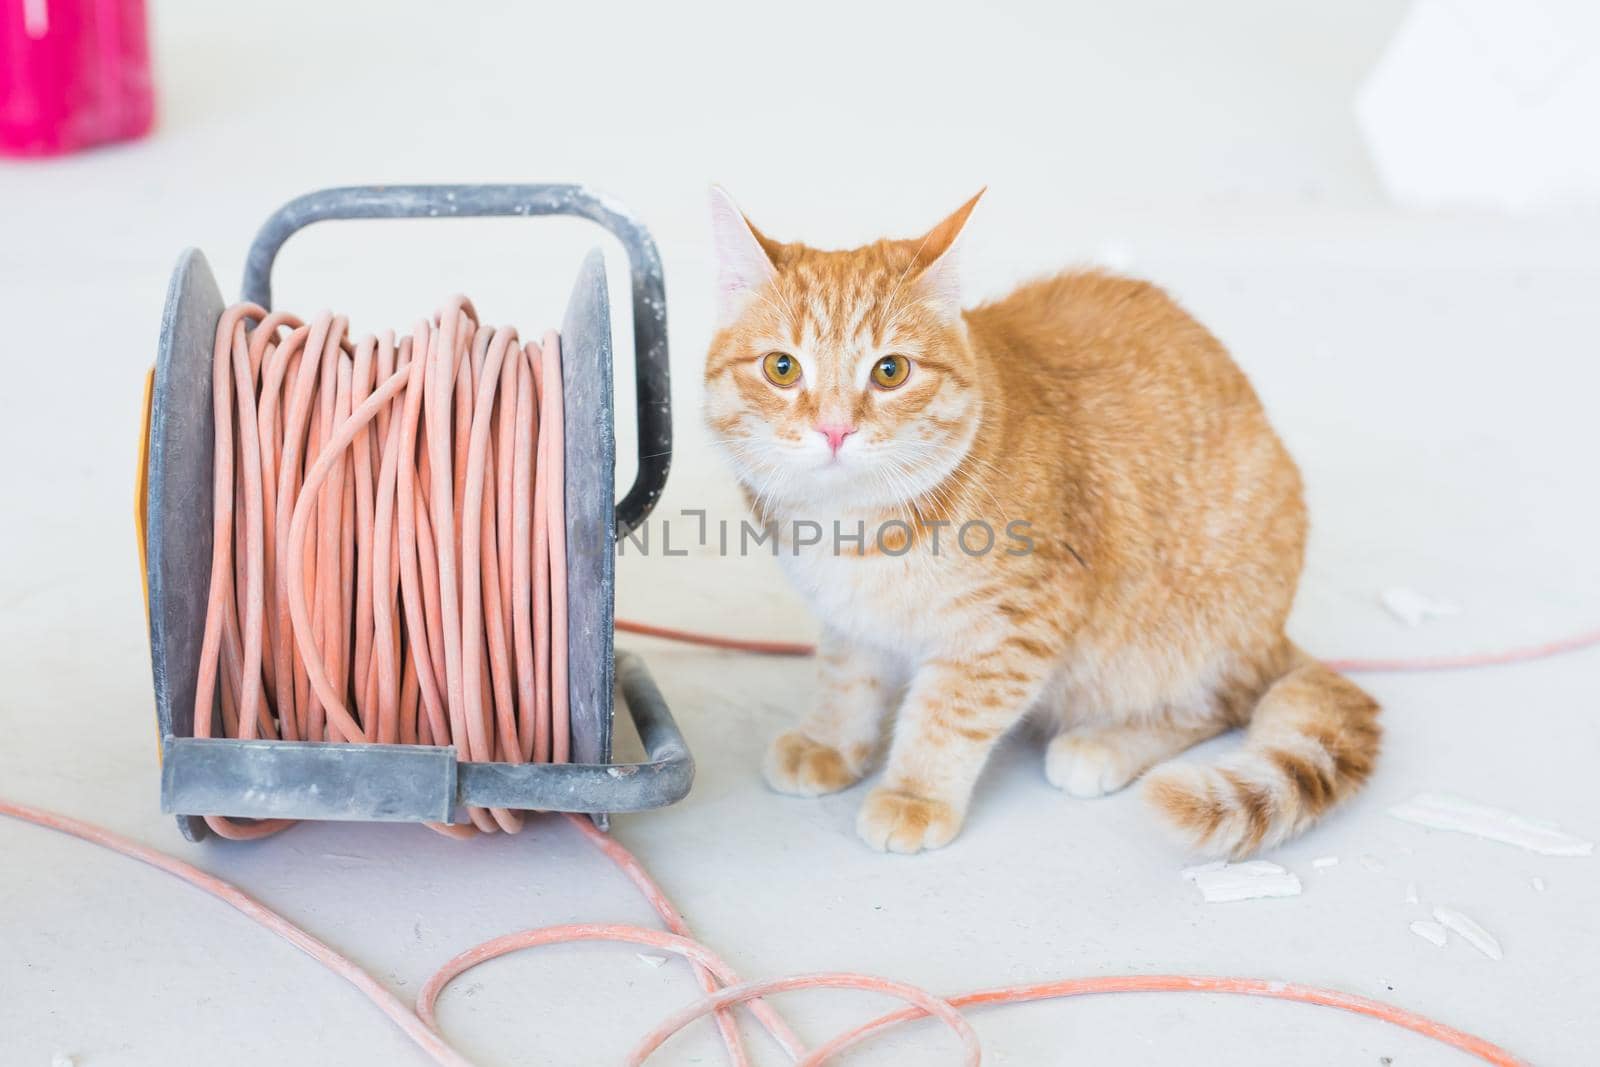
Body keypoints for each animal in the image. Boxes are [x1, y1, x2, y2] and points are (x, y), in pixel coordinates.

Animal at [707, 189, 1382, 857]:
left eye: (890, 371)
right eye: (783, 368)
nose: (835, 429)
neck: (853, 530)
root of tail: (1275, 635)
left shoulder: (1010, 627)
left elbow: (947, 715)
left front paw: (914, 794)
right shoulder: (852, 620)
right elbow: (847, 680)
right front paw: (829, 741)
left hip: (1187, 631)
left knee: (1217, 703)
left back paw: (1104, 743)